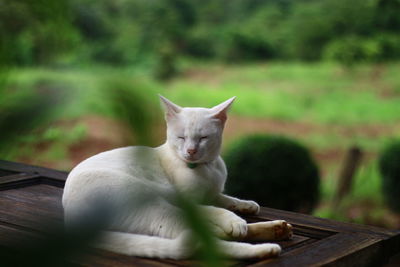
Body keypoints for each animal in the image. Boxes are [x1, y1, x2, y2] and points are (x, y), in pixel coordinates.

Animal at [61, 96, 290, 260]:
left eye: (203, 138)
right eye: (181, 137)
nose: (190, 150)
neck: (206, 168)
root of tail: (71, 220)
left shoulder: (212, 194)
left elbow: (225, 198)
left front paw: (246, 204)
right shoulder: (188, 201)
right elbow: (216, 208)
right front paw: (234, 219)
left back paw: (277, 229)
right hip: (156, 207)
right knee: (206, 240)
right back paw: (265, 247)